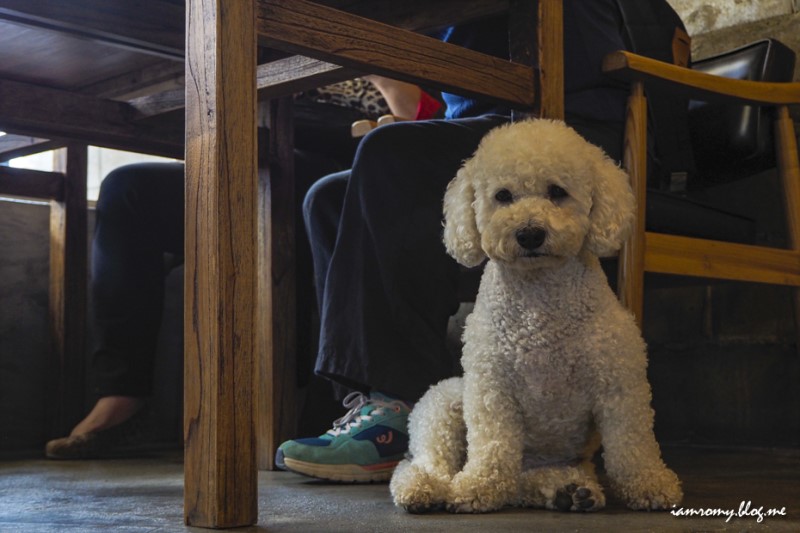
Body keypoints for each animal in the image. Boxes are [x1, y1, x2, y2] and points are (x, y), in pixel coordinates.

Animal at [390, 119, 682, 514]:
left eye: (557, 191)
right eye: (502, 195)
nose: (529, 234)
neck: (540, 305)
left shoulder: (619, 383)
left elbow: (632, 444)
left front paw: (649, 484)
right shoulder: (491, 390)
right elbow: (492, 448)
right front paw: (479, 486)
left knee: (525, 483)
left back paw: (569, 491)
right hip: (443, 404)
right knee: (423, 462)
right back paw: (423, 488)